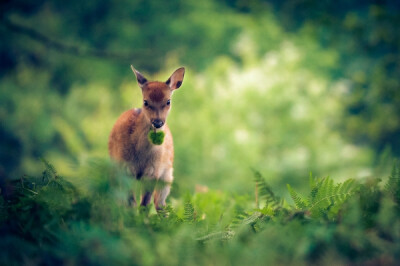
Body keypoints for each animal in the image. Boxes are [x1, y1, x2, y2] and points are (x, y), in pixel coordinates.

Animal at [108, 65, 185, 211]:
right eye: (145, 101)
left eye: (168, 101)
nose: (158, 122)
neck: (141, 156)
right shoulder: (125, 168)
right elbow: (131, 203)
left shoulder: (154, 171)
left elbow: (145, 203)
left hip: (167, 175)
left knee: (160, 204)